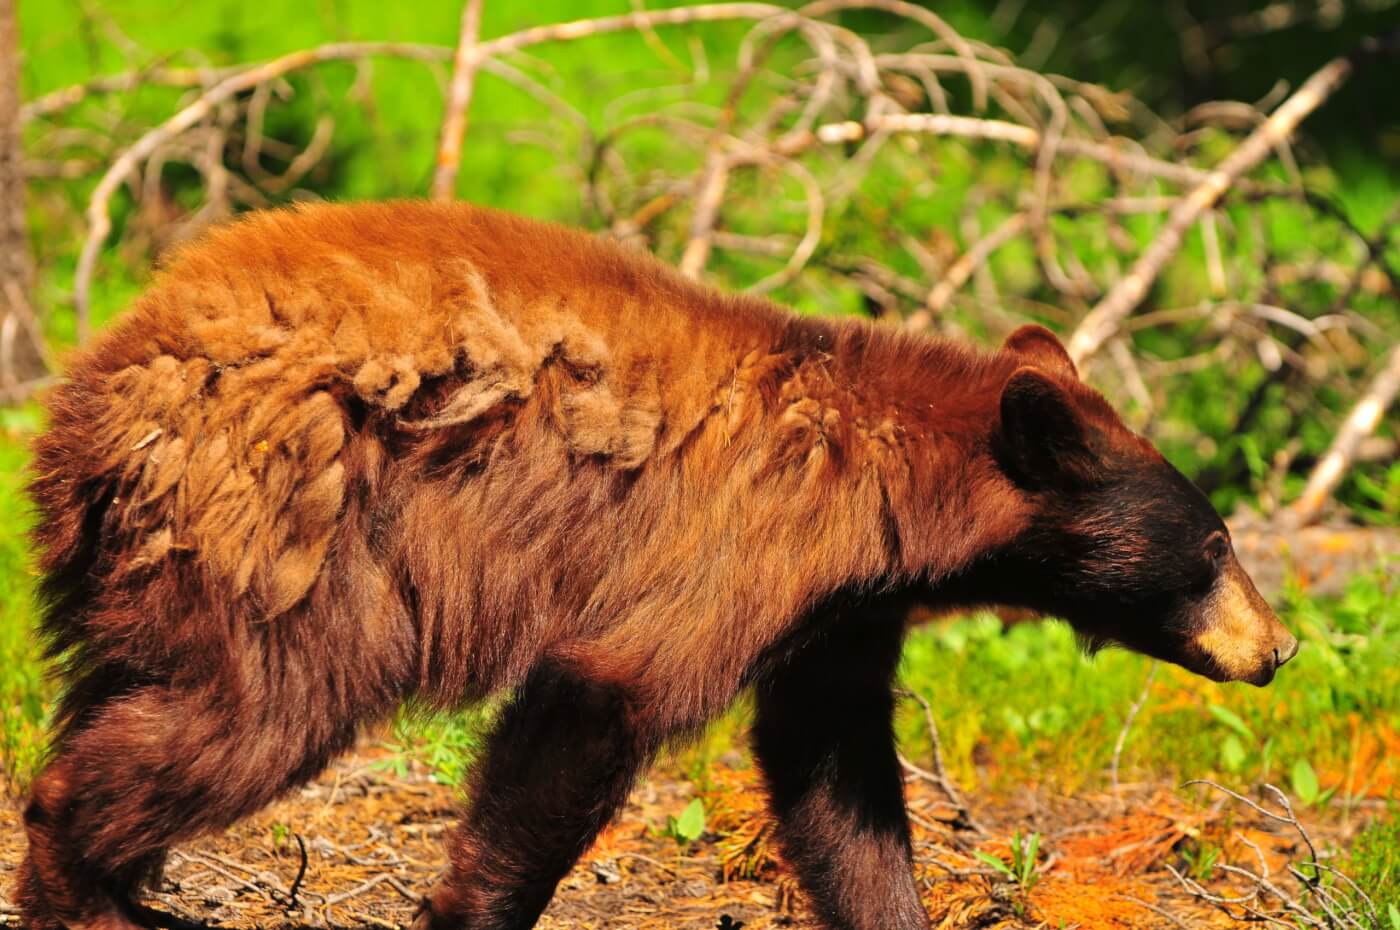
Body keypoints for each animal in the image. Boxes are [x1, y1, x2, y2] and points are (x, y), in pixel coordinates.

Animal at [16, 201, 1293, 930]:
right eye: (1215, 544)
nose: (1278, 646)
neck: (890, 482)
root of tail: (90, 395)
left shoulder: (835, 607)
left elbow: (832, 773)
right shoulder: (741, 545)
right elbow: (600, 693)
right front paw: (472, 910)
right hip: (288, 526)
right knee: (243, 718)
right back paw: (93, 895)